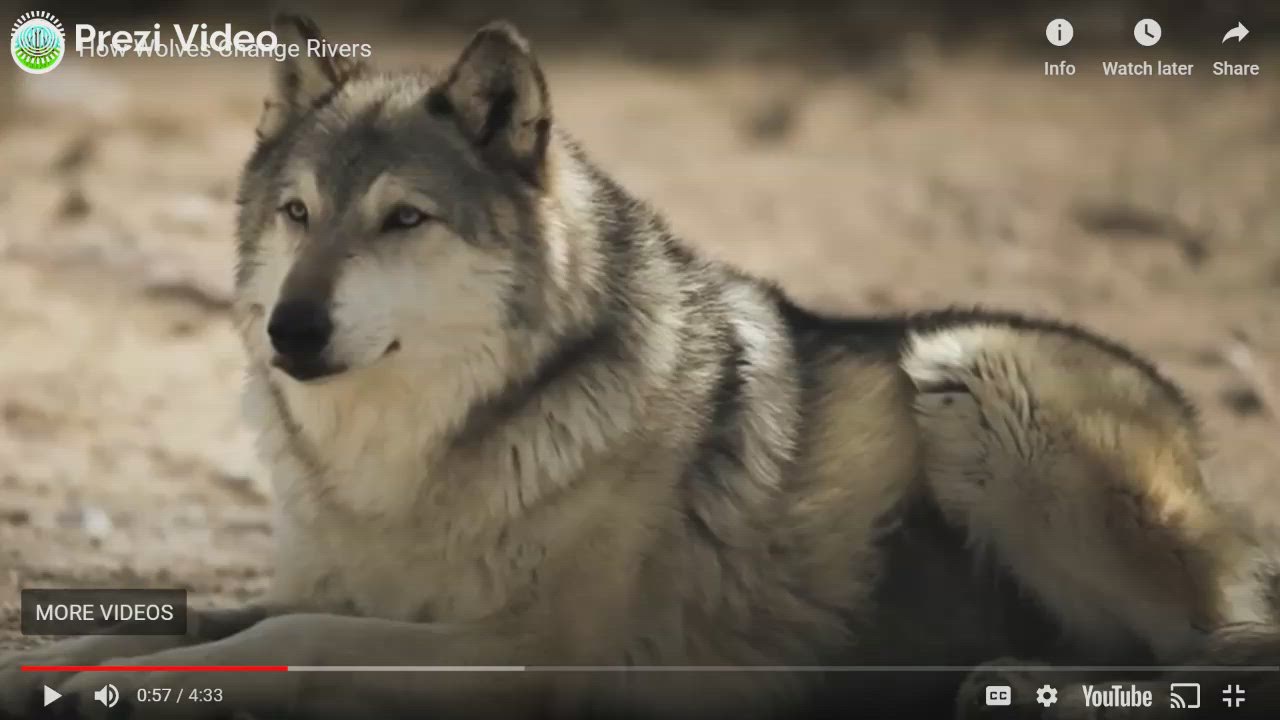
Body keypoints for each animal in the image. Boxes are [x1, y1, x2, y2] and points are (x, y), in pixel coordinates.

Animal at [2, 14, 1278, 720]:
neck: (411, 465)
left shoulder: (527, 658)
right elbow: (202, 623)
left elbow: (289, 644)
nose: (291, 330)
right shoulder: (344, 587)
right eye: (297, 215)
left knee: (1216, 650)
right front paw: (60, 661)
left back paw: (1007, 682)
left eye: (403, 219)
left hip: (967, 372)